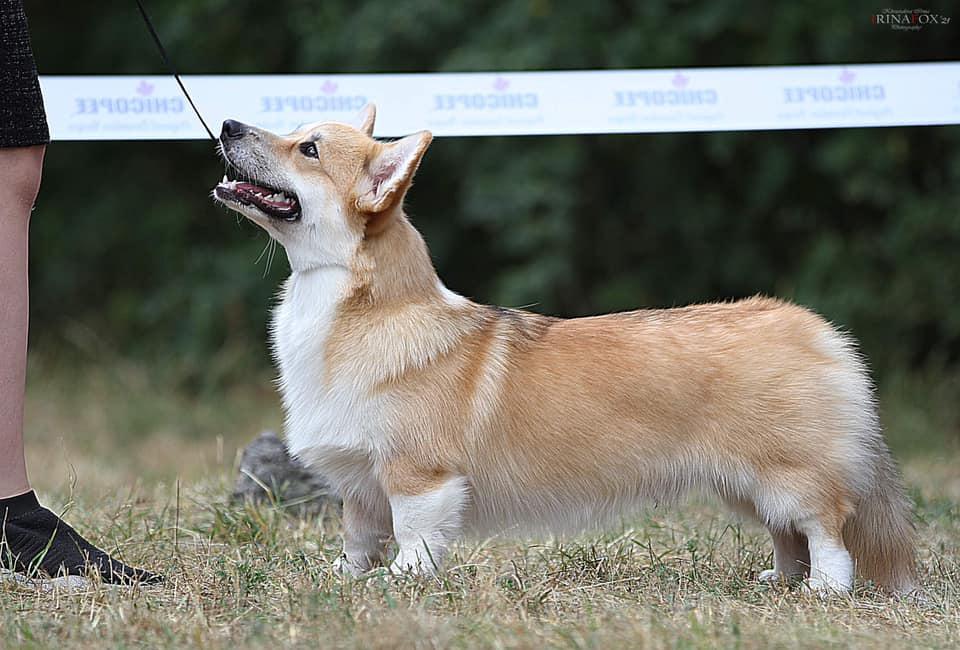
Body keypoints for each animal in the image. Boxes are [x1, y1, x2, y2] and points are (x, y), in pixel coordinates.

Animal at [214, 102, 920, 592]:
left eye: (307, 148)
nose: (226, 124)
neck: (347, 308)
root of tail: (813, 326)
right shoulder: (361, 485)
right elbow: (359, 539)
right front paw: (344, 579)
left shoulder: (418, 476)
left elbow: (414, 536)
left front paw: (402, 584)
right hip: (744, 482)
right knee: (787, 534)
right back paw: (783, 580)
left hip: (789, 474)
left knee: (826, 525)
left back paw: (826, 588)